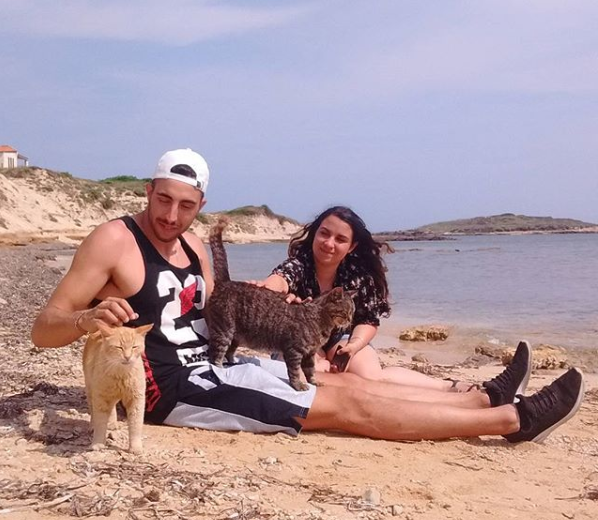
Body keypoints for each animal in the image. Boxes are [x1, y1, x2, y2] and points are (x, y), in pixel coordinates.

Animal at [82, 322, 152, 454]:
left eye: (134, 347)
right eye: (119, 347)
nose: (127, 357)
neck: (121, 374)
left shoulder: (137, 399)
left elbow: (136, 425)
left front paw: (135, 447)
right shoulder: (100, 397)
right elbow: (100, 423)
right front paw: (97, 443)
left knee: (112, 408)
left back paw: (112, 423)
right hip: (90, 389)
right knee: (93, 410)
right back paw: (93, 426)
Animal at [206, 217, 355, 391]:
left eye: (352, 312)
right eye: (345, 312)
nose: (350, 320)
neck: (319, 318)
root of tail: (226, 282)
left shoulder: (309, 354)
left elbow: (310, 371)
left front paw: (314, 381)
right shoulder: (294, 351)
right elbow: (295, 372)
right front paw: (298, 385)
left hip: (235, 337)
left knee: (229, 352)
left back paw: (232, 363)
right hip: (224, 331)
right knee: (215, 356)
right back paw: (221, 369)